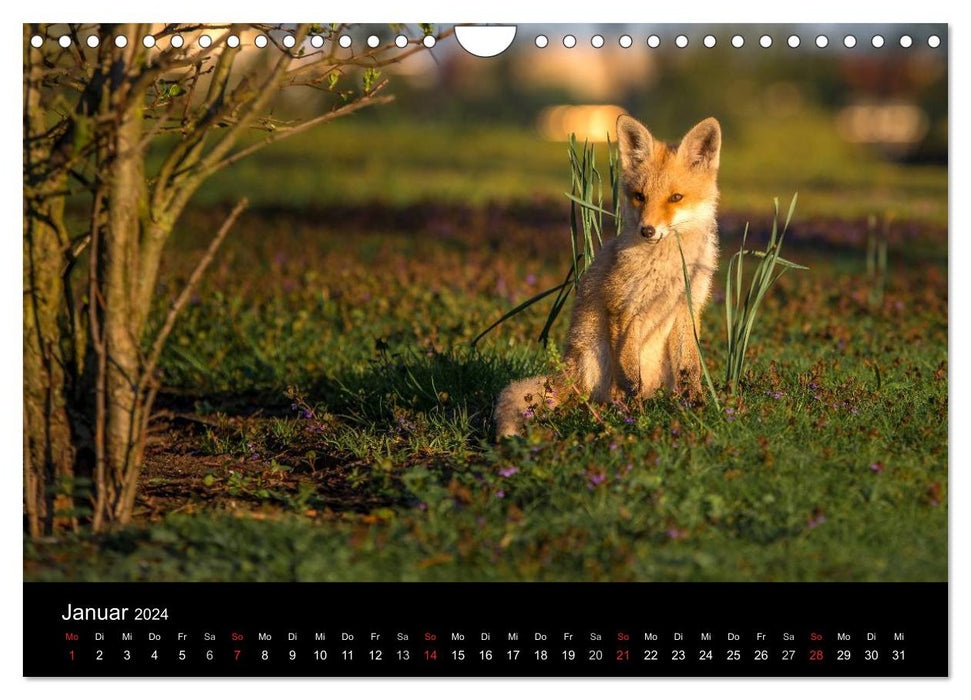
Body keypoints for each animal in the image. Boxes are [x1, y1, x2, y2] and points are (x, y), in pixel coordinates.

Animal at [498, 113, 716, 438]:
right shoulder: (623, 308)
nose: (647, 230)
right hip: (595, 353)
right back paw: (604, 414)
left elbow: (690, 369)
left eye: (676, 197)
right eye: (639, 197)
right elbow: (630, 378)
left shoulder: (686, 308)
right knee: (591, 399)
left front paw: (699, 410)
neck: (668, 269)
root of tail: (566, 375)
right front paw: (637, 419)